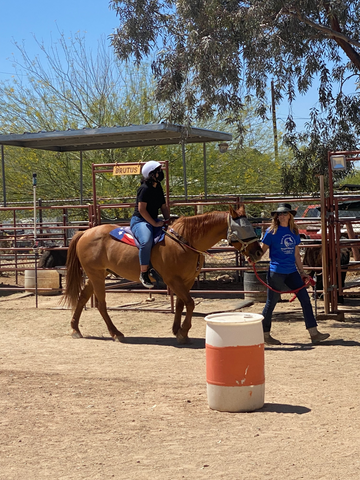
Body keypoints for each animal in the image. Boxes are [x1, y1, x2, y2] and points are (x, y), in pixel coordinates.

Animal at [63, 204, 262, 344]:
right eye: (243, 229)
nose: (259, 252)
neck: (184, 241)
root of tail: (86, 232)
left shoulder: (187, 280)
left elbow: (182, 304)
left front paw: (178, 331)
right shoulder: (173, 279)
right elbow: (190, 303)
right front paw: (183, 332)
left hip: (97, 275)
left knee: (82, 297)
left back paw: (75, 329)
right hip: (96, 275)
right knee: (101, 305)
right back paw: (116, 333)